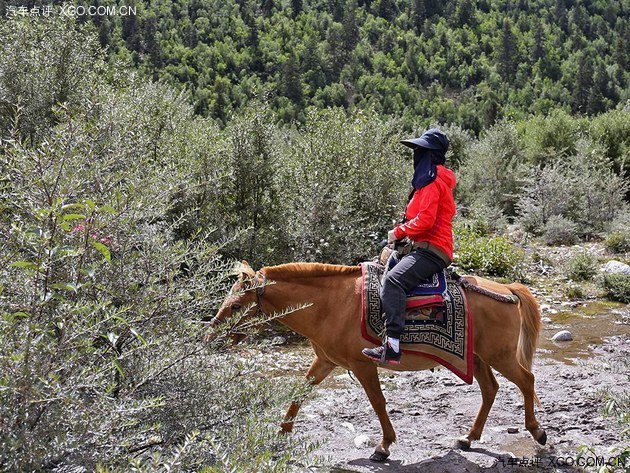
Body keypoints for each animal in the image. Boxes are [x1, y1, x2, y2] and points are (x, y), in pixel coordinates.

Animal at [205, 258, 544, 460]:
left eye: (236, 305)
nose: (210, 338)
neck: (331, 304)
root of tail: (506, 288)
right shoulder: (325, 361)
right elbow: (300, 393)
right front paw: (280, 435)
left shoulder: (362, 365)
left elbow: (378, 402)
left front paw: (383, 446)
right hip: (479, 357)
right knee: (490, 390)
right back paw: (468, 438)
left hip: (500, 355)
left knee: (527, 380)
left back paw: (537, 431)